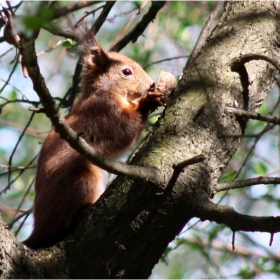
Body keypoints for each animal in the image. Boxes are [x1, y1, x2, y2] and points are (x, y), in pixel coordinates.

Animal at [23, 27, 176, 249]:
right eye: (126, 72)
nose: (151, 84)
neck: (106, 91)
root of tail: (38, 231)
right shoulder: (104, 112)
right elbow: (124, 131)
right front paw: (149, 100)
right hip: (79, 180)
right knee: (62, 224)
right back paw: (81, 213)